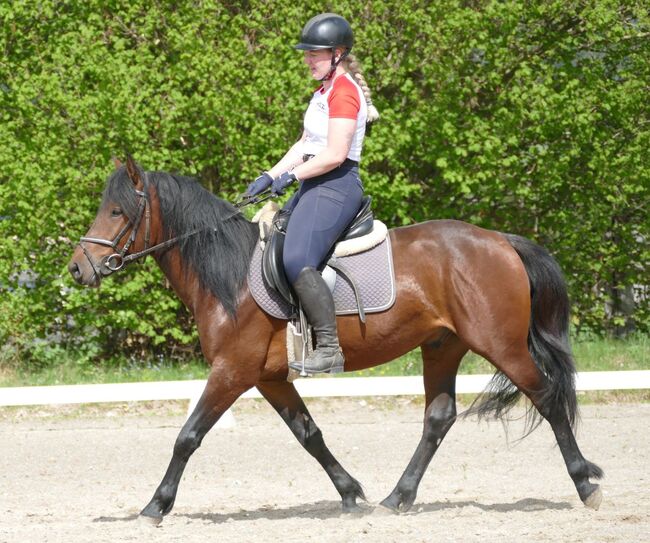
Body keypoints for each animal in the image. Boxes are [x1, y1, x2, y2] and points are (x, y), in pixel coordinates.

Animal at [68, 157, 603, 524]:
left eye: (116, 212)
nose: (78, 269)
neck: (231, 277)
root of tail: (501, 240)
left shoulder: (233, 371)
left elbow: (188, 436)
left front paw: (155, 506)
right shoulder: (269, 378)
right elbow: (309, 435)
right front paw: (350, 493)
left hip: (502, 346)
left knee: (546, 398)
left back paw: (585, 484)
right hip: (442, 346)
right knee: (439, 417)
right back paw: (397, 497)